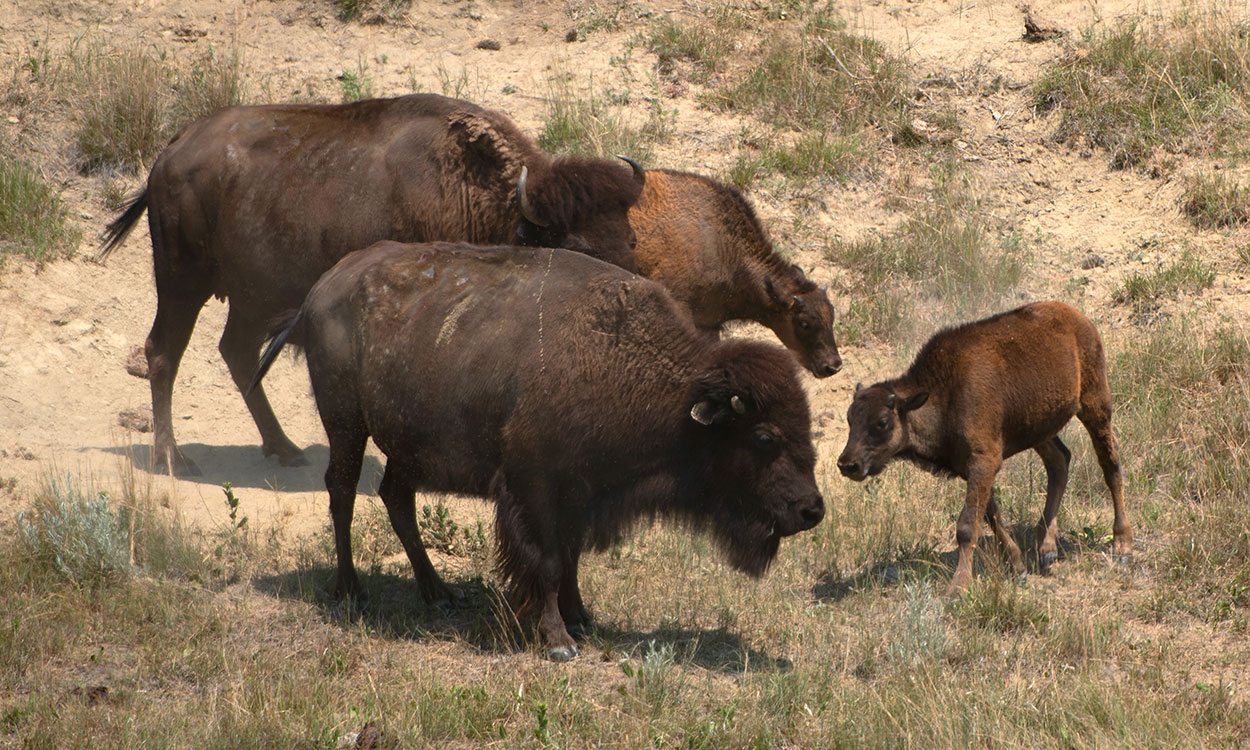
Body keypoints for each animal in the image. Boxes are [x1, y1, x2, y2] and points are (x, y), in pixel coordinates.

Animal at [98, 92, 645, 475]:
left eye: (632, 240)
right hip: (181, 282)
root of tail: (169, 153)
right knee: (164, 353)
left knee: (236, 352)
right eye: (577, 248)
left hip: (252, 300)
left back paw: (284, 449)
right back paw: (173, 459)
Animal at [835, 301, 1140, 595]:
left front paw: (958, 587)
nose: (848, 464)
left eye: (882, 422)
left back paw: (1122, 546)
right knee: (1060, 461)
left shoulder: (984, 461)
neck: (943, 394)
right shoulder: (972, 467)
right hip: (1039, 429)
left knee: (1110, 466)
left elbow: (967, 525)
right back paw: (1047, 549)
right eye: (849, 418)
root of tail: (1078, 318)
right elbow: (992, 515)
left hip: (1095, 405)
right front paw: (1018, 567)